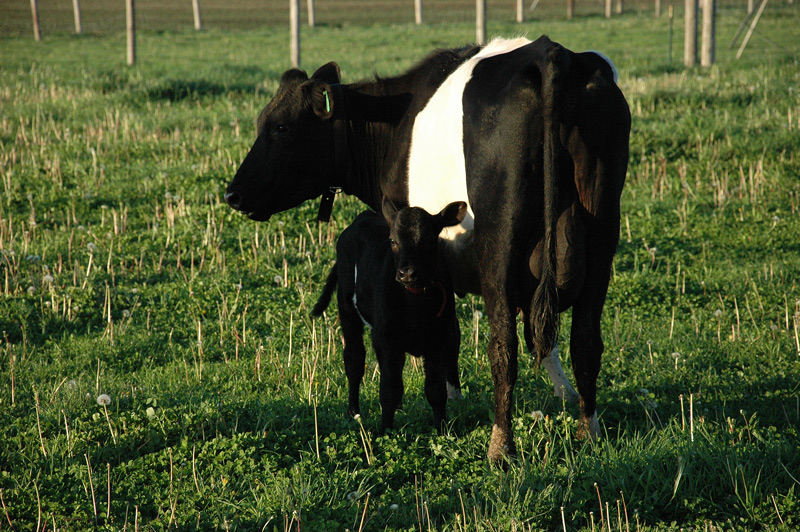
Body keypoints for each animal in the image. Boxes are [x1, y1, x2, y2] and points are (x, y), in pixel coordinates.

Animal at [312, 199, 467, 431]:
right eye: (393, 240)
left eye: (429, 239)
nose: (407, 273)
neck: (416, 308)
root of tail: (361, 218)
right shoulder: (387, 339)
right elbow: (389, 390)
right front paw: (385, 431)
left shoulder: (439, 337)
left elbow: (435, 390)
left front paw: (442, 429)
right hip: (347, 308)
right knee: (354, 360)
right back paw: (353, 412)